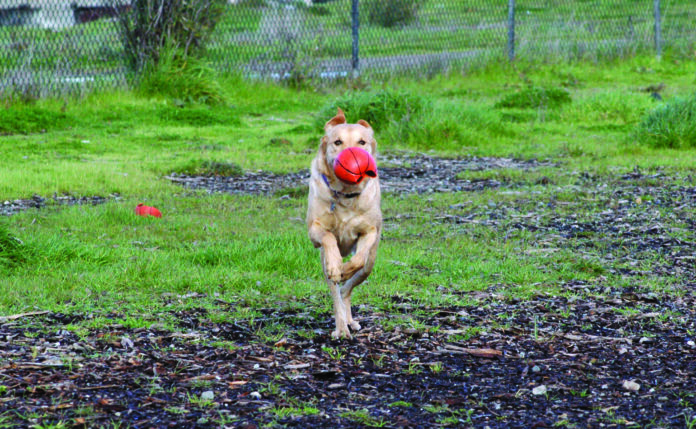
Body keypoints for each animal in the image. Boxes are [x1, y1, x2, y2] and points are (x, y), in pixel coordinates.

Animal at [308, 107, 384, 338]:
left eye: (362, 142)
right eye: (338, 142)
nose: (353, 155)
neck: (345, 195)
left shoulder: (370, 231)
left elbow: (358, 258)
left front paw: (346, 269)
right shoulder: (314, 230)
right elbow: (328, 236)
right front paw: (337, 267)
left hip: (370, 265)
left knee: (346, 289)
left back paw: (350, 319)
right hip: (323, 263)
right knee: (336, 295)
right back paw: (342, 328)